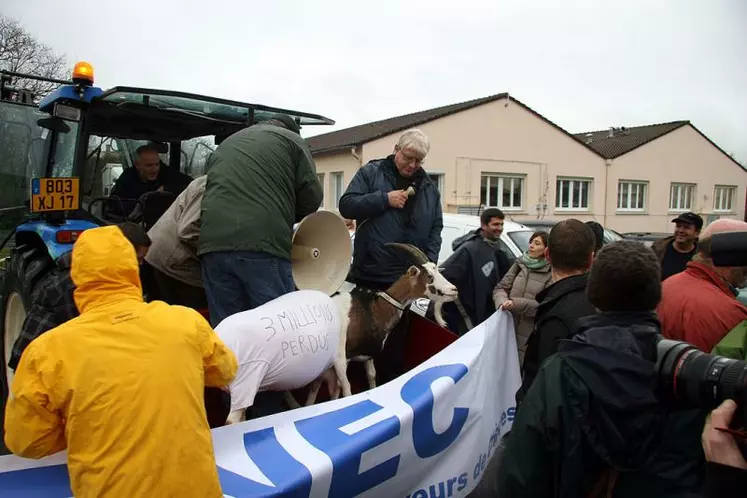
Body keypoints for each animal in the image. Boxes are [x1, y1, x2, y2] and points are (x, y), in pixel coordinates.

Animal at [296, 243, 458, 406]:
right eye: (429, 277)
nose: (454, 290)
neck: (374, 310)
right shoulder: (342, 359)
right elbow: (343, 388)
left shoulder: (367, 354)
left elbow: (371, 375)